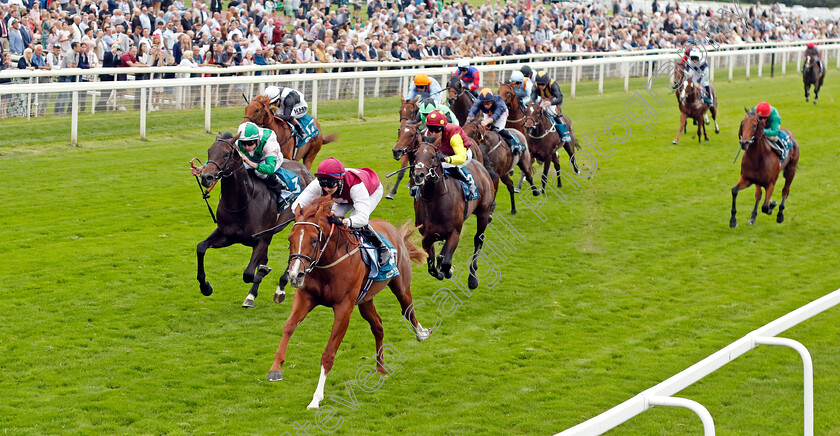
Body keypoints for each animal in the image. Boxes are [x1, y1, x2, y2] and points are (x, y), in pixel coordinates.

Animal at [194, 133, 316, 306]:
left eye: (226, 154)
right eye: (209, 151)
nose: (206, 177)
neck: (243, 202)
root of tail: (305, 169)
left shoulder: (262, 239)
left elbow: (249, 273)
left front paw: (265, 273)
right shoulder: (226, 235)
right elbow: (201, 247)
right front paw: (205, 287)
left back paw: (281, 287)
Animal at [266, 197, 430, 408]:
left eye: (314, 239)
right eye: (290, 239)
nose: (294, 275)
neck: (328, 263)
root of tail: (392, 228)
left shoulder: (344, 308)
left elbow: (328, 353)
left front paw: (316, 398)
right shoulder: (305, 297)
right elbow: (289, 326)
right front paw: (275, 368)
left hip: (400, 286)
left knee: (408, 310)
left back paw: (421, 334)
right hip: (365, 300)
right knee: (378, 326)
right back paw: (380, 367)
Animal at [410, 141, 496, 288]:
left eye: (433, 156)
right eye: (415, 155)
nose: (418, 175)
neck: (435, 201)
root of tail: (479, 164)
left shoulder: (454, 233)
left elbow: (445, 262)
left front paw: (448, 270)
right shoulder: (426, 237)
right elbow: (432, 267)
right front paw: (440, 271)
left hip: (483, 213)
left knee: (478, 240)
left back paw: (473, 279)